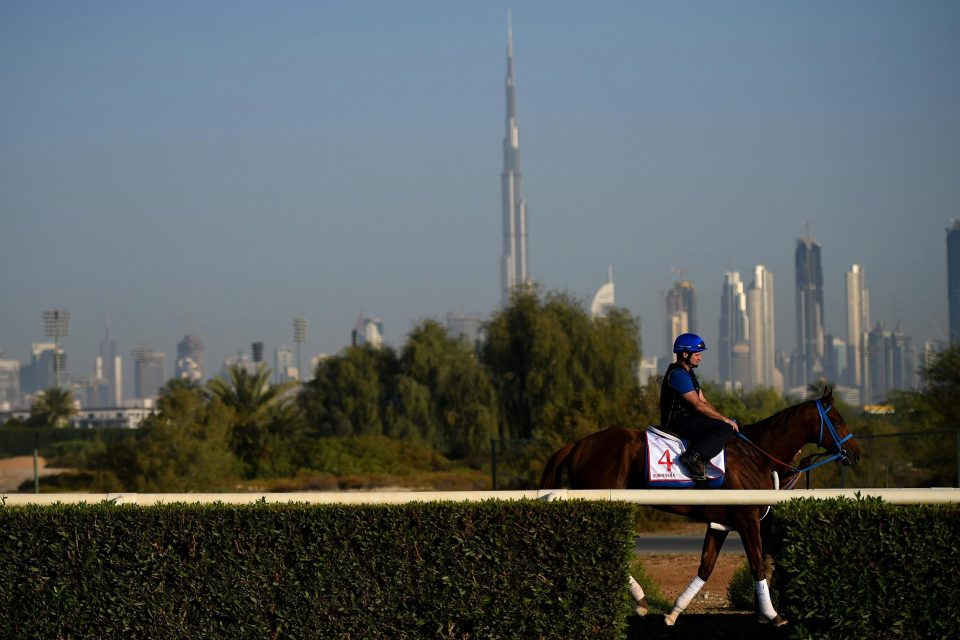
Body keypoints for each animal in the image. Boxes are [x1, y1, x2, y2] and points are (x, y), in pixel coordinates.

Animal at [540, 384, 864, 624]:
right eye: (837, 419)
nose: (855, 452)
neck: (756, 453)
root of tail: (578, 444)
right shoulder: (747, 519)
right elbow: (758, 563)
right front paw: (772, 615)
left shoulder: (720, 523)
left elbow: (706, 566)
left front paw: (673, 613)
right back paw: (639, 598)